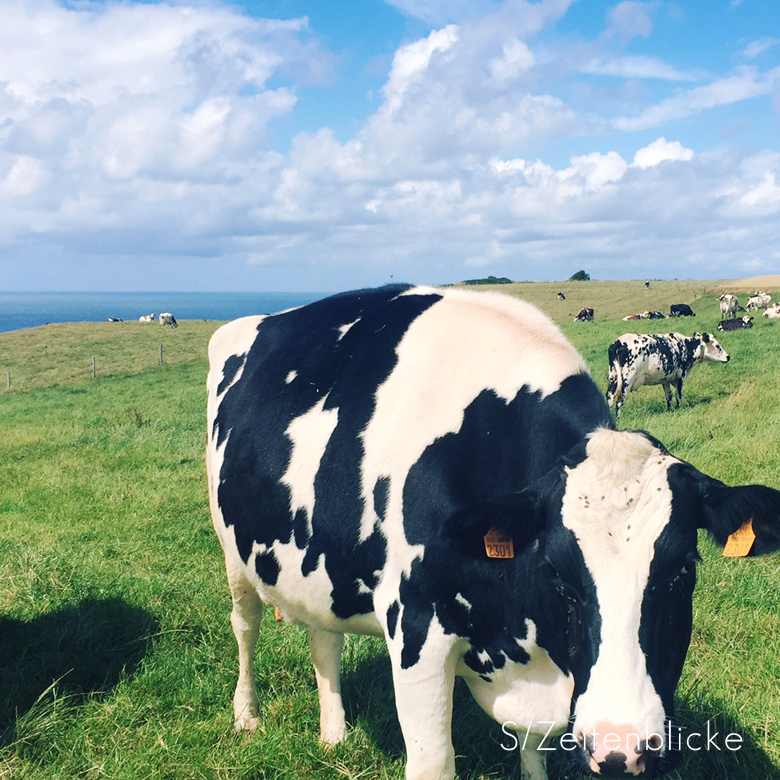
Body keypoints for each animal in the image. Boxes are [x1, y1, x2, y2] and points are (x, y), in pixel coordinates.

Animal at [206, 286, 780, 780]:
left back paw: (334, 735)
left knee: (325, 636)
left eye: (684, 569)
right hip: (232, 551)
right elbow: (434, 763)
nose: (622, 748)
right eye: (558, 573)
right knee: (245, 625)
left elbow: (532, 755)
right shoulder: (415, 628)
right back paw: (246, 715)